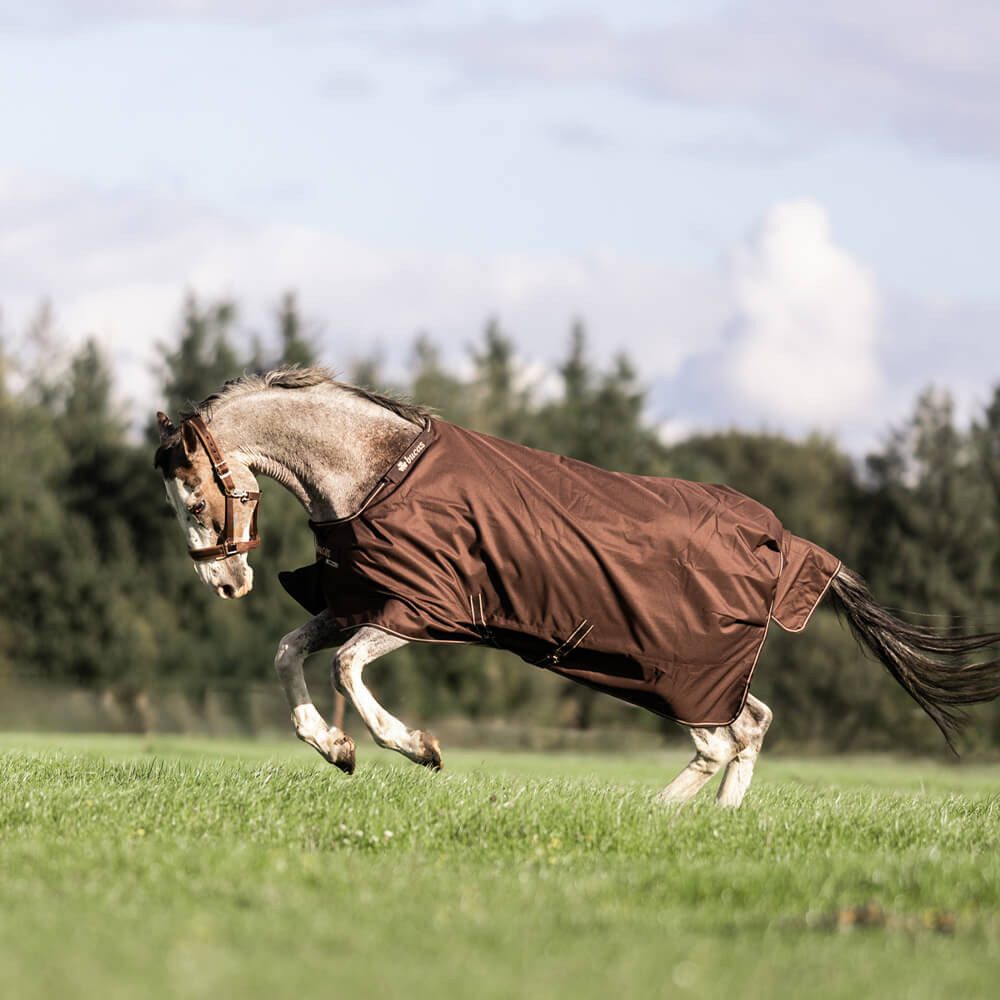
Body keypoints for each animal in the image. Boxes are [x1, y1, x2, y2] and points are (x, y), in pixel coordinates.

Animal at [154, 366, 1000, 807]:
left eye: (193, 500)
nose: (225, 582)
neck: (375, 470)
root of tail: (785, 541)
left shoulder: (418, 609)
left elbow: (344, 670)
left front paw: (418, 748)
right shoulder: (354, 602)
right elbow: (287, 653)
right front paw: (334, 750)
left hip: (674, 673)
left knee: (721, 738)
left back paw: (658, 819)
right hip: (691, 672)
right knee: (752, 724)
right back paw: (718, 824)